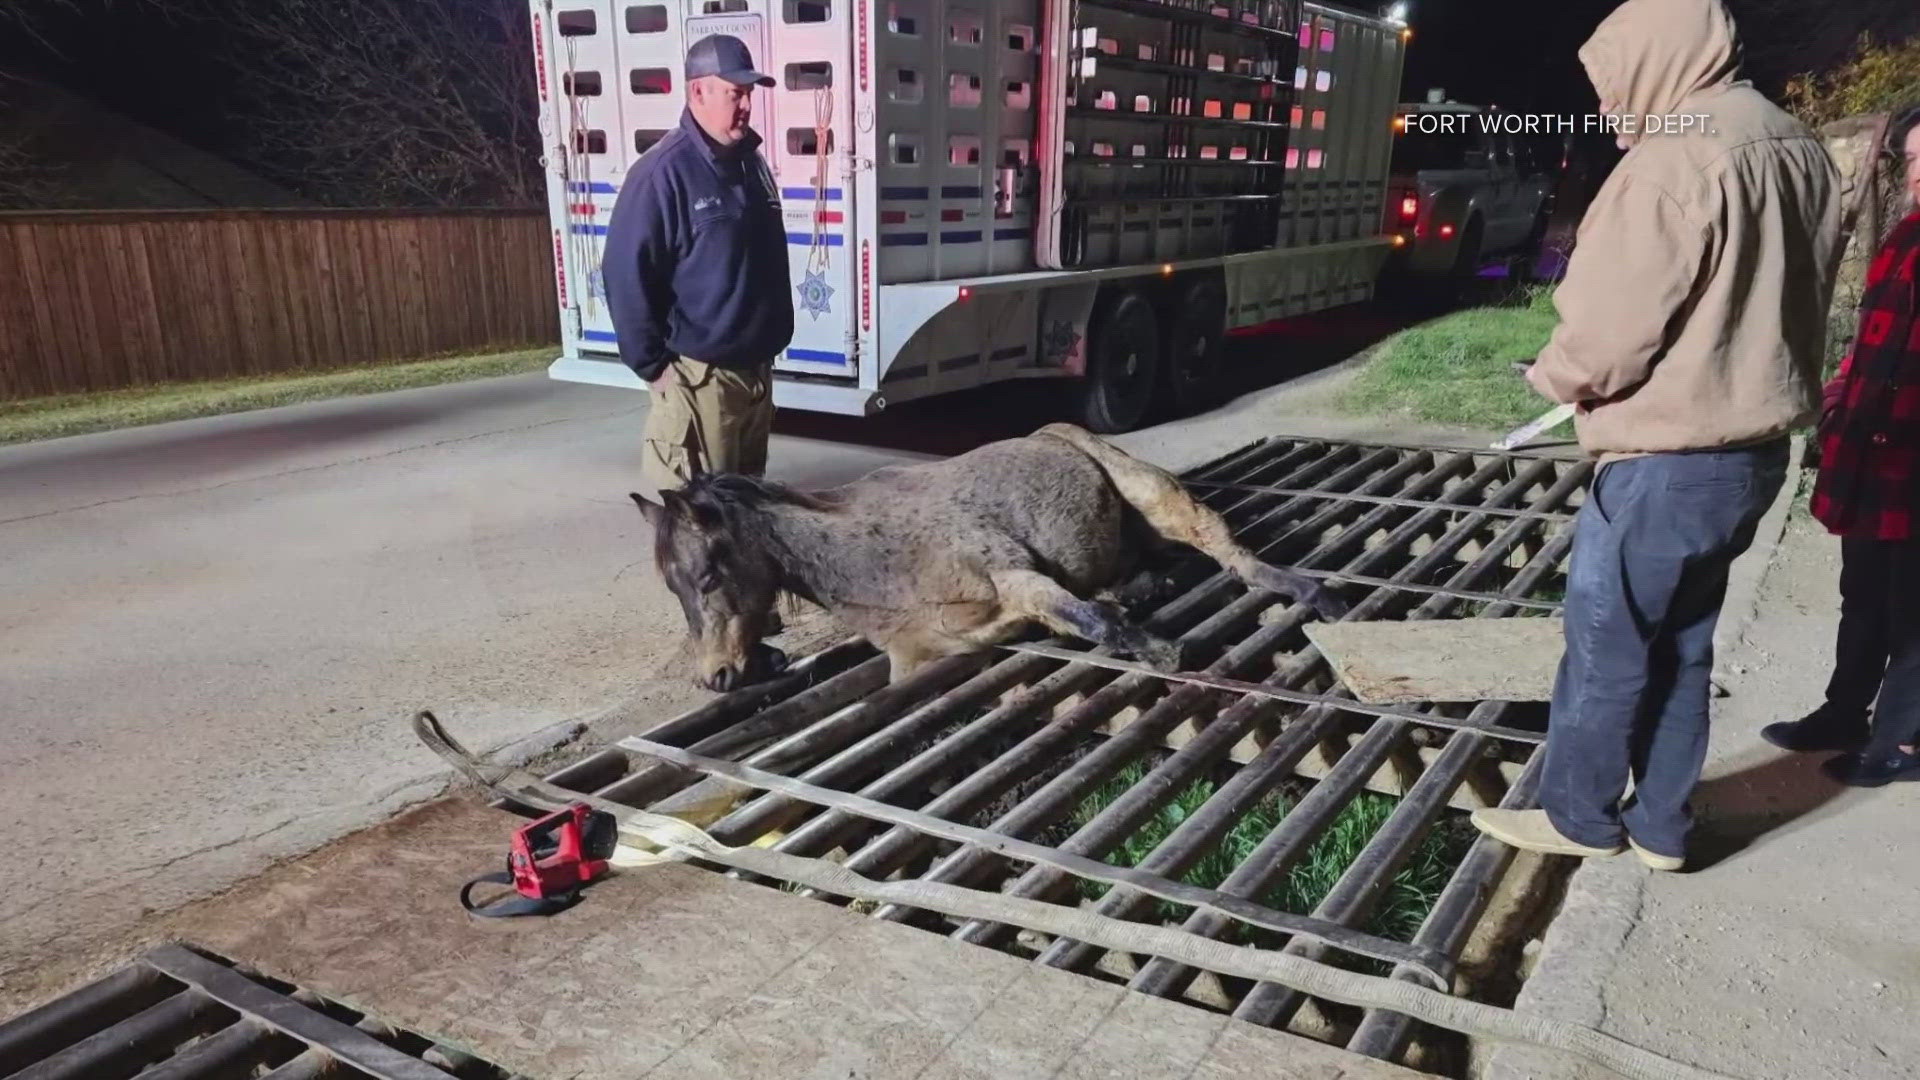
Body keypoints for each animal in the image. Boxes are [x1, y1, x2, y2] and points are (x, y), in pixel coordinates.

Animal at [629, 420, 1336, 687]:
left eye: (708, 573)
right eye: (673, 588)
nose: (716, 678)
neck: (875, 563)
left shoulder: (1016, 577)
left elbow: (1091, 623)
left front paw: (1161, 651)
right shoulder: (919, 661)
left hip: (1157, 499)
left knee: (1223, 546)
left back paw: (1314, 591)